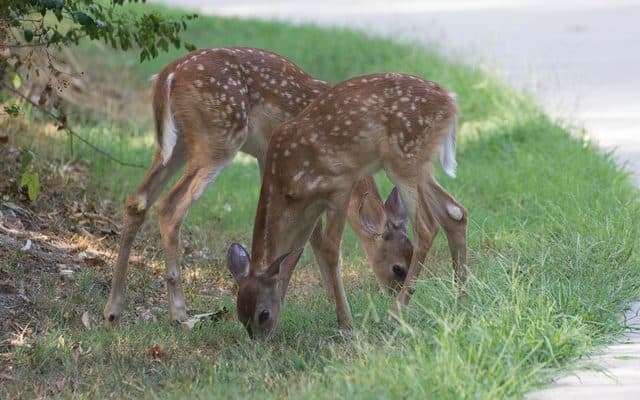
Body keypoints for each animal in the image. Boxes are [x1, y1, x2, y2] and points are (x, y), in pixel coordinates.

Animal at [102, 47, 415, 327]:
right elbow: (310, 235)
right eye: (398, 268)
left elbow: (309, 234)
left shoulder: (268, 159)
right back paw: (179, 313)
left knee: (137, 200)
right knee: (170, 207)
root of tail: (167, 75)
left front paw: (325, 297)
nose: (395, 295)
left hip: (177, 145)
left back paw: (113, 311)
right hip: (219, 138)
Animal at [227, 72, 468, 339]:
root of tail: (451, 102)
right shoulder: (308, 211)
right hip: (420, 165)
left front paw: (345, 323)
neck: (286, 188)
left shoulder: (339, 185)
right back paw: (460, 299)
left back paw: (396, 311)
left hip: (404, 159)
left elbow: (331, 250)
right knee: (454, 212)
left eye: (263, 314)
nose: (261, 341)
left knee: (427, 227)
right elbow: (294, 257)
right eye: (240, 316)